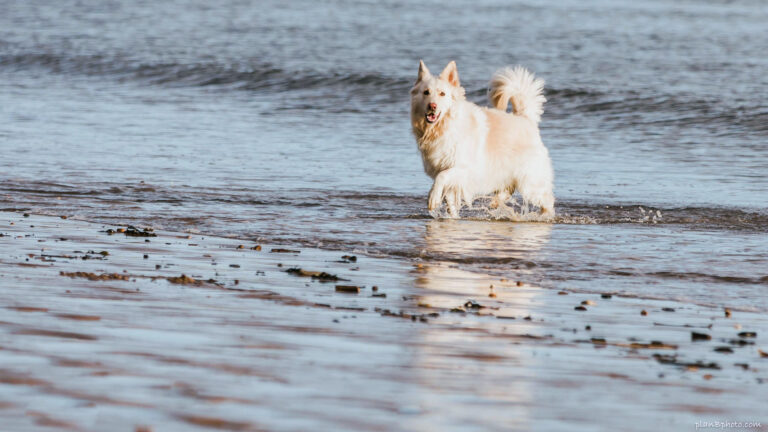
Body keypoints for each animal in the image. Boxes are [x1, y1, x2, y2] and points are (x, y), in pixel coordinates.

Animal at [412, 60, 556, 218]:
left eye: (442, 94)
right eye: (426, 92)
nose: (432, 106)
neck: (443, 127)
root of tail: (525, 118)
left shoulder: (463, 168)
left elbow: (441, 177)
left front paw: (433, 199)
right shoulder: (448, 172)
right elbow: (449, 199)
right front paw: (452, 216)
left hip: (530, 181)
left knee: (547, 200)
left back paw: (544, 215)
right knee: (508, 189)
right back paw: (496, 202)